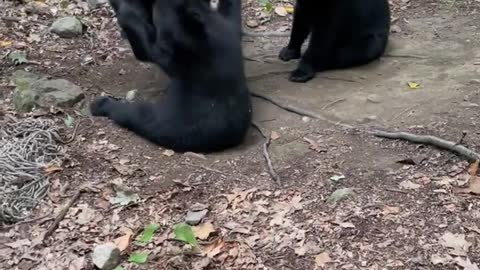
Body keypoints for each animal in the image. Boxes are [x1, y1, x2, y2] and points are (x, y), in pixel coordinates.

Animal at [91, 0, 253, 153]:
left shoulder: (177, 50)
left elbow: (148, 50)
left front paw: (126, 12)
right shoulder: (227, 27)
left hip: (178, 123)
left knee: (139, 116)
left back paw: (100, 105)